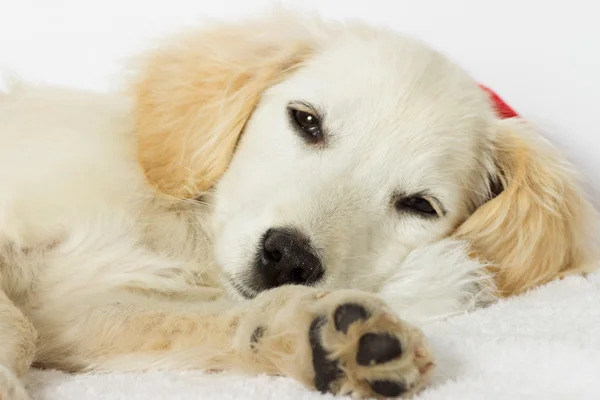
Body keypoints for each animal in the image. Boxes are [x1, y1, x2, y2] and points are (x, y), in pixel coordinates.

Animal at [0, 10, 596, 398]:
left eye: (420, 206)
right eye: (306, 120)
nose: (288, 258)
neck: (180, 228)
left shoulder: (80, 310)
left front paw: (320, 337)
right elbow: (18, 325)